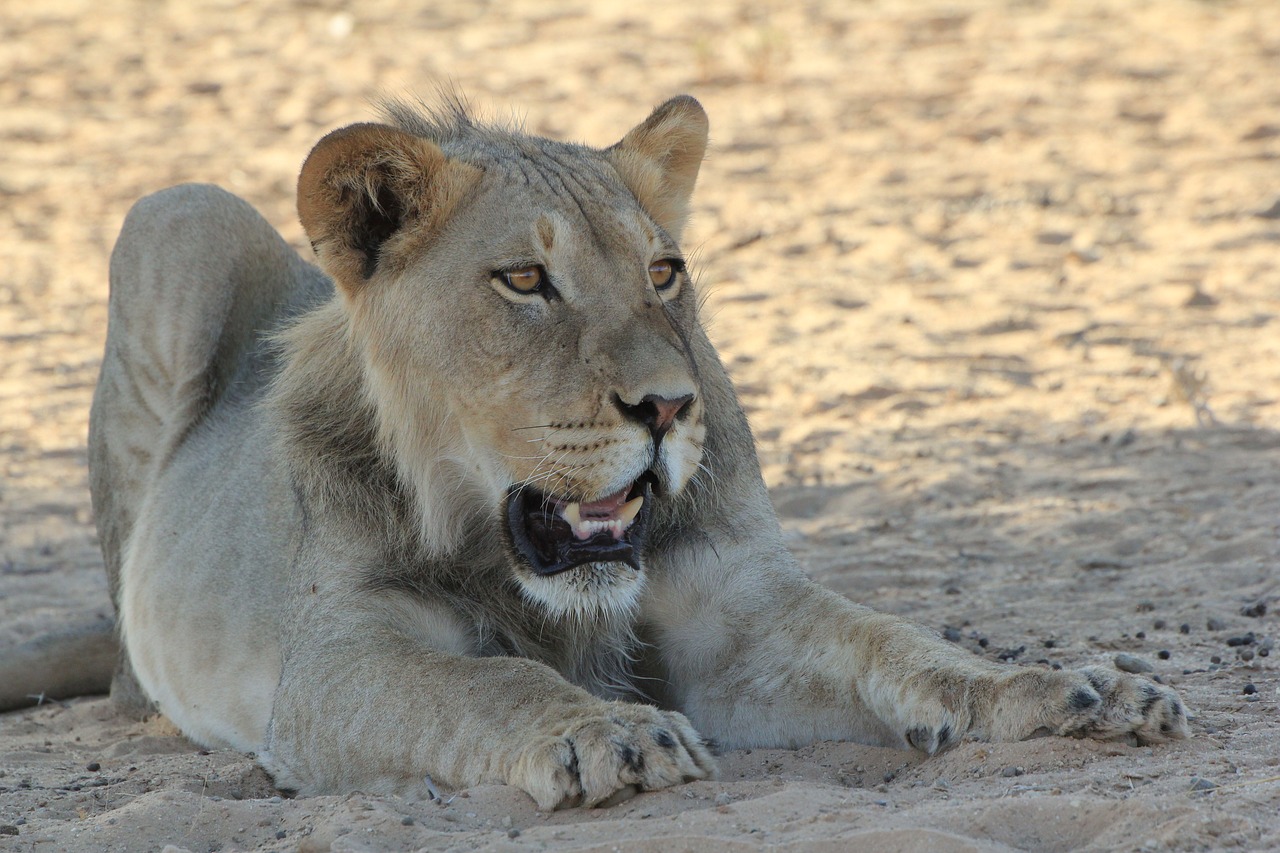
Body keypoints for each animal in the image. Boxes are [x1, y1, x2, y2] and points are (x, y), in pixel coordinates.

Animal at [0, 92, 1182, 804]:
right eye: (526, 280)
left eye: (663, 271)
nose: (666, 406)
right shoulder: (336, 659)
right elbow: (491, 685)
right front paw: (610, 734)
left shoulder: (731, 609)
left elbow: (897, 647)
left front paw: (1068, 690)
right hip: (174, 216)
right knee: (128, 671)